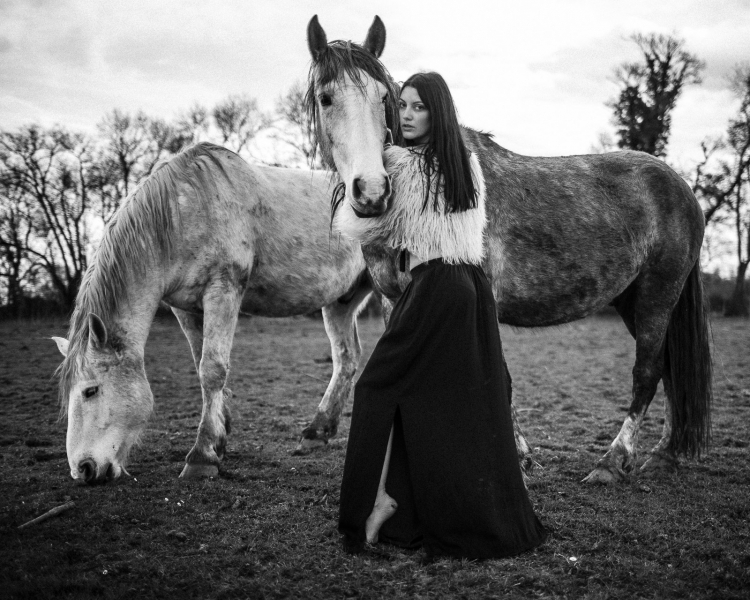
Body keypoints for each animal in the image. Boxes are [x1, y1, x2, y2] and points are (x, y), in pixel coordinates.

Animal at [302, 15, 712, 482]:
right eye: (326, 98)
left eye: (384, 97)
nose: (371, 192)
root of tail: (680, 186)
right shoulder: (394, 299)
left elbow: (498, 377)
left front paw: (519, 457)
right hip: (632, 299)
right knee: (670, 368)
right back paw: (664, 453)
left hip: (658, 295)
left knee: (647, 371)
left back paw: (613, 461)